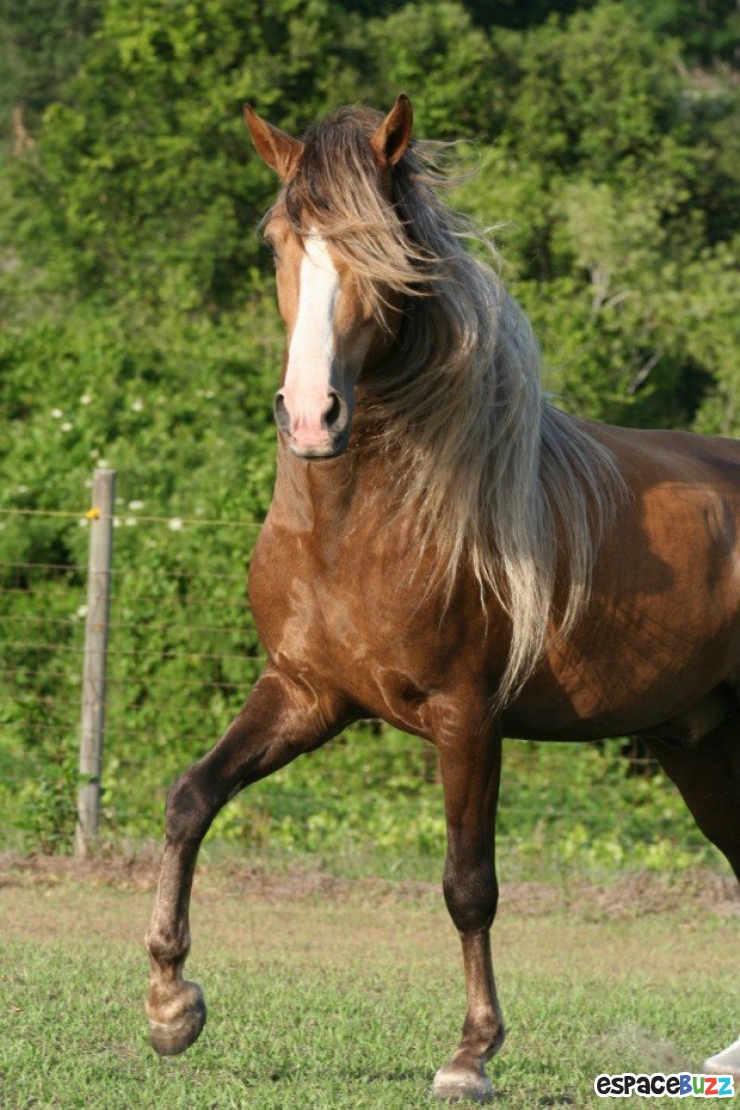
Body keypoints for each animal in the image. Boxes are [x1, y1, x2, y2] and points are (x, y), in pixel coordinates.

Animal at [145, 95, 740, 1101]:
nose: (312, 417)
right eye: (279, 240)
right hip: (700, 748)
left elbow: (469, 885)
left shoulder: (468, 717)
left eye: (384, 249)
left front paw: (472, 1055)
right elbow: (192, 797)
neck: (357, 530)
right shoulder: (306, 694)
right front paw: (170, 1004)